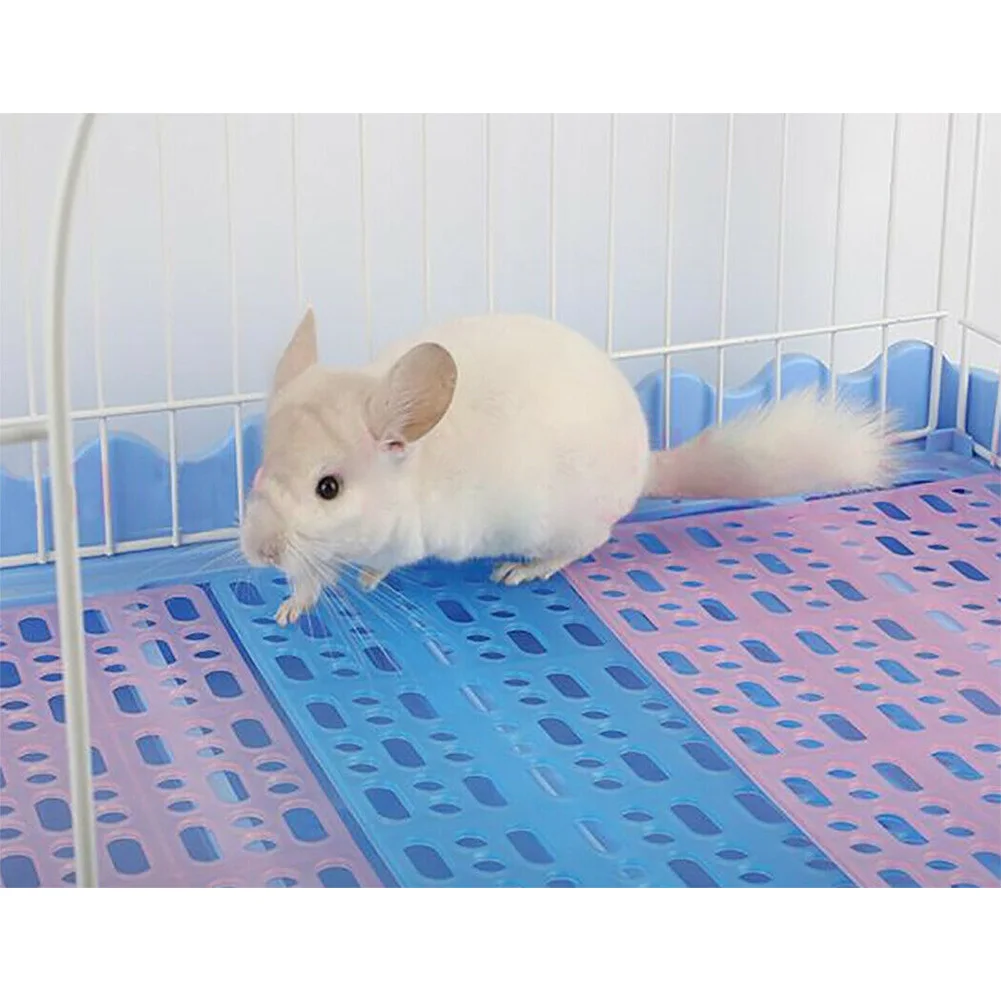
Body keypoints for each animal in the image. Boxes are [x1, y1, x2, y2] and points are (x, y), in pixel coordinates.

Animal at [241, 308, 898, 625]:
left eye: (328, 488)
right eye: (260, 469)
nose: (258, 551)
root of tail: (644, 467)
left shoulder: (409, 538)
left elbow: (380, 564)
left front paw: (366, 581)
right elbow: (311, 580)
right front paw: (288, 610)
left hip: (558, 524)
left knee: (586, 544)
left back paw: (521, 570)